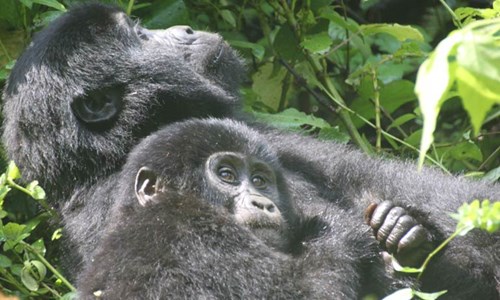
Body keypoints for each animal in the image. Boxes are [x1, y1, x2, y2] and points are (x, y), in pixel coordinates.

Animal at [76, 118, 410, 298]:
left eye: (260, 181)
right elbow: (303, 293)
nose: (262, 202)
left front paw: (399, 231)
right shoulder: (194, 230)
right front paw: (335, 223)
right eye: (226, 175)